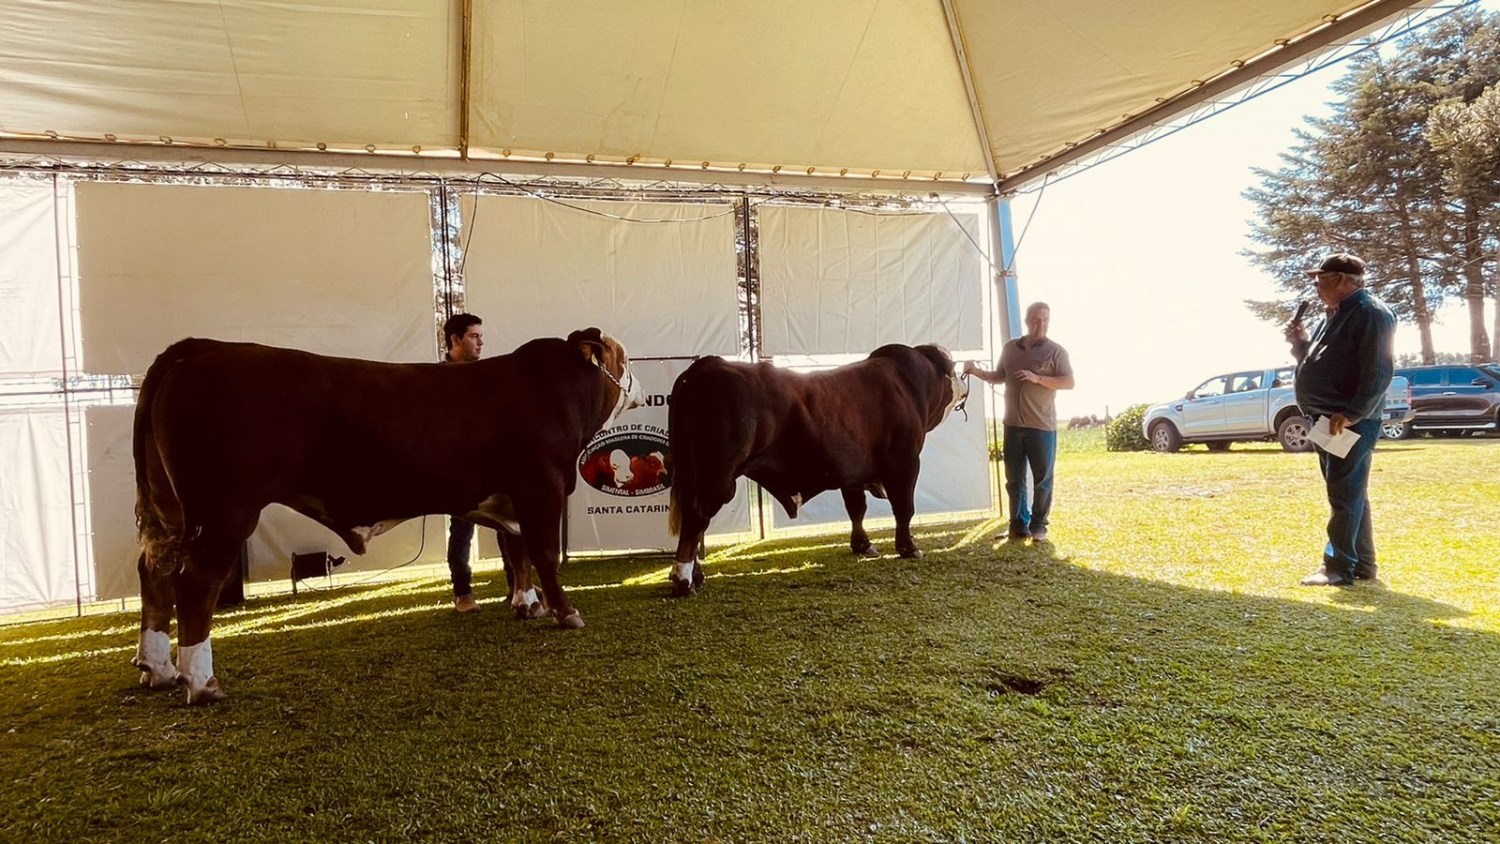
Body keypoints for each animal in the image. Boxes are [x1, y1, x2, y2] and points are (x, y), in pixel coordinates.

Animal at [132, 326, 642, 704]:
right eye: (622, 356)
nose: (638, 383)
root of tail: (203, 347)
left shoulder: (510, 499)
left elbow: (516, 554)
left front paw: (526, 605)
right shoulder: (543, 486)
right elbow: (544, 555)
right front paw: (566, 613)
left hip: (170, 506)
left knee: (154, 571)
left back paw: (158, 669)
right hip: (225, 509)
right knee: (197, 580)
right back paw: (201, 682)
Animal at [666, 341, 966, 593]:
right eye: (953, 372)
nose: (964, 388)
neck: (908, 385)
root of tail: (707, 365)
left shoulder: (853, 473)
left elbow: (856, 509)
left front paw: (862, 545)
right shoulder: (904, 462)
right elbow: (904, 508)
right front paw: (908, 548)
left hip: (694, 473)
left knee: (694, 521)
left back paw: (695, 576)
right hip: (716, 475)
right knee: (696, 516)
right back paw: (683, 580)